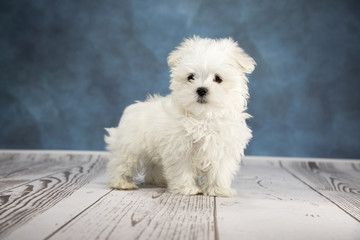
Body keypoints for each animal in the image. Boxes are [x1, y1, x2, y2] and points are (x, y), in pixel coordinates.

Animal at [105, 36, 255, 197]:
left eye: (218, 79)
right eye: (191, 77)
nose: (201, 90)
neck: (203, 117)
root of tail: (133, 108)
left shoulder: (222, 149)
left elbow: (219, 172)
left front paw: (219, 190)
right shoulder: (180, 149)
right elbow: (183, 170)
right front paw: (188, 189)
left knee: (153, 165)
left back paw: (158, 180)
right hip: (130, 147)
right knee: (121, 163)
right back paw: (122, 183)